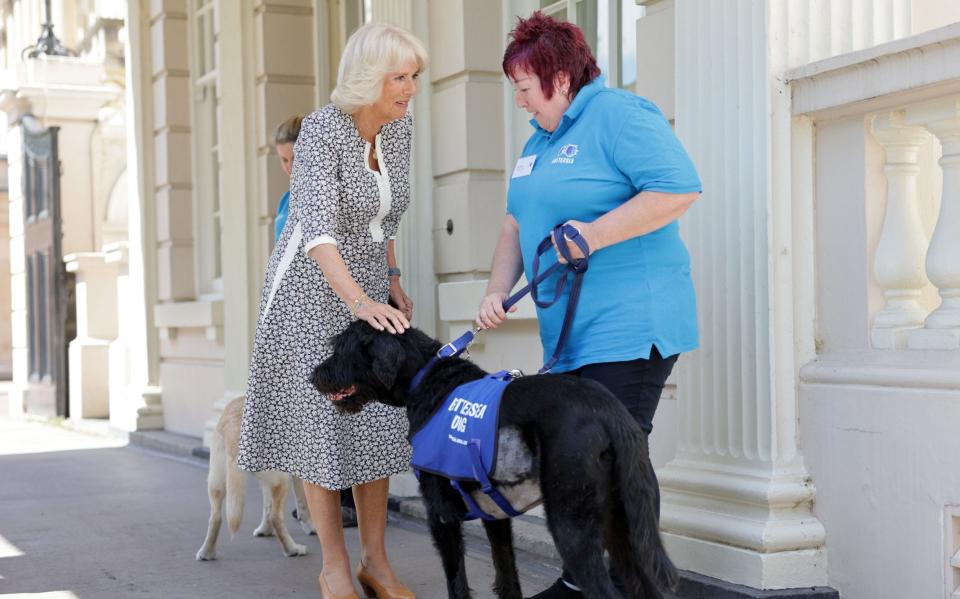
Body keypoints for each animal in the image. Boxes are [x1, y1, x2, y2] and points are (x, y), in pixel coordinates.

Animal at [314, 324, 676, 599]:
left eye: (341, 349)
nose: (313, 375)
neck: (427, 379)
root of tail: (610, 413)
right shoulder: (494, 514)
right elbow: (507, 575)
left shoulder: (441, 516)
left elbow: (457, 581)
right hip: (624, 527)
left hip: (573, 527)